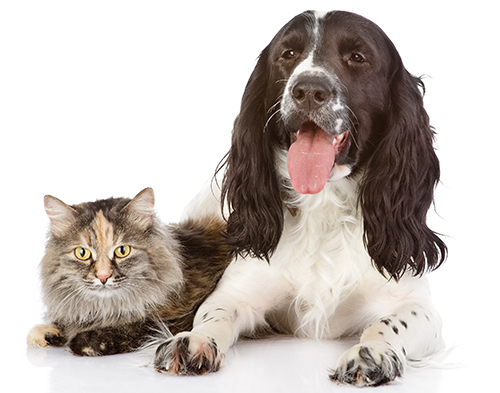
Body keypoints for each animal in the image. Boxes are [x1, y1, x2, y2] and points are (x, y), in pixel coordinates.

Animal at [26, 188, 231, 356]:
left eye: (122, 251)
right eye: (82, 253)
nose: (103, 276)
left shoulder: (170, 321)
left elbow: (126, 329)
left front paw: (76, 339)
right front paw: (49, 332)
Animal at [153, 9, 450, 386]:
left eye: (357, 57)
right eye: (288, 54)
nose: (308, 89)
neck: (323, 206)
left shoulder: (417, 303)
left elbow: (391, 322)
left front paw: (371, 353)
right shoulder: (240, 291)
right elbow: (215, 313)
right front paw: (194, 340)